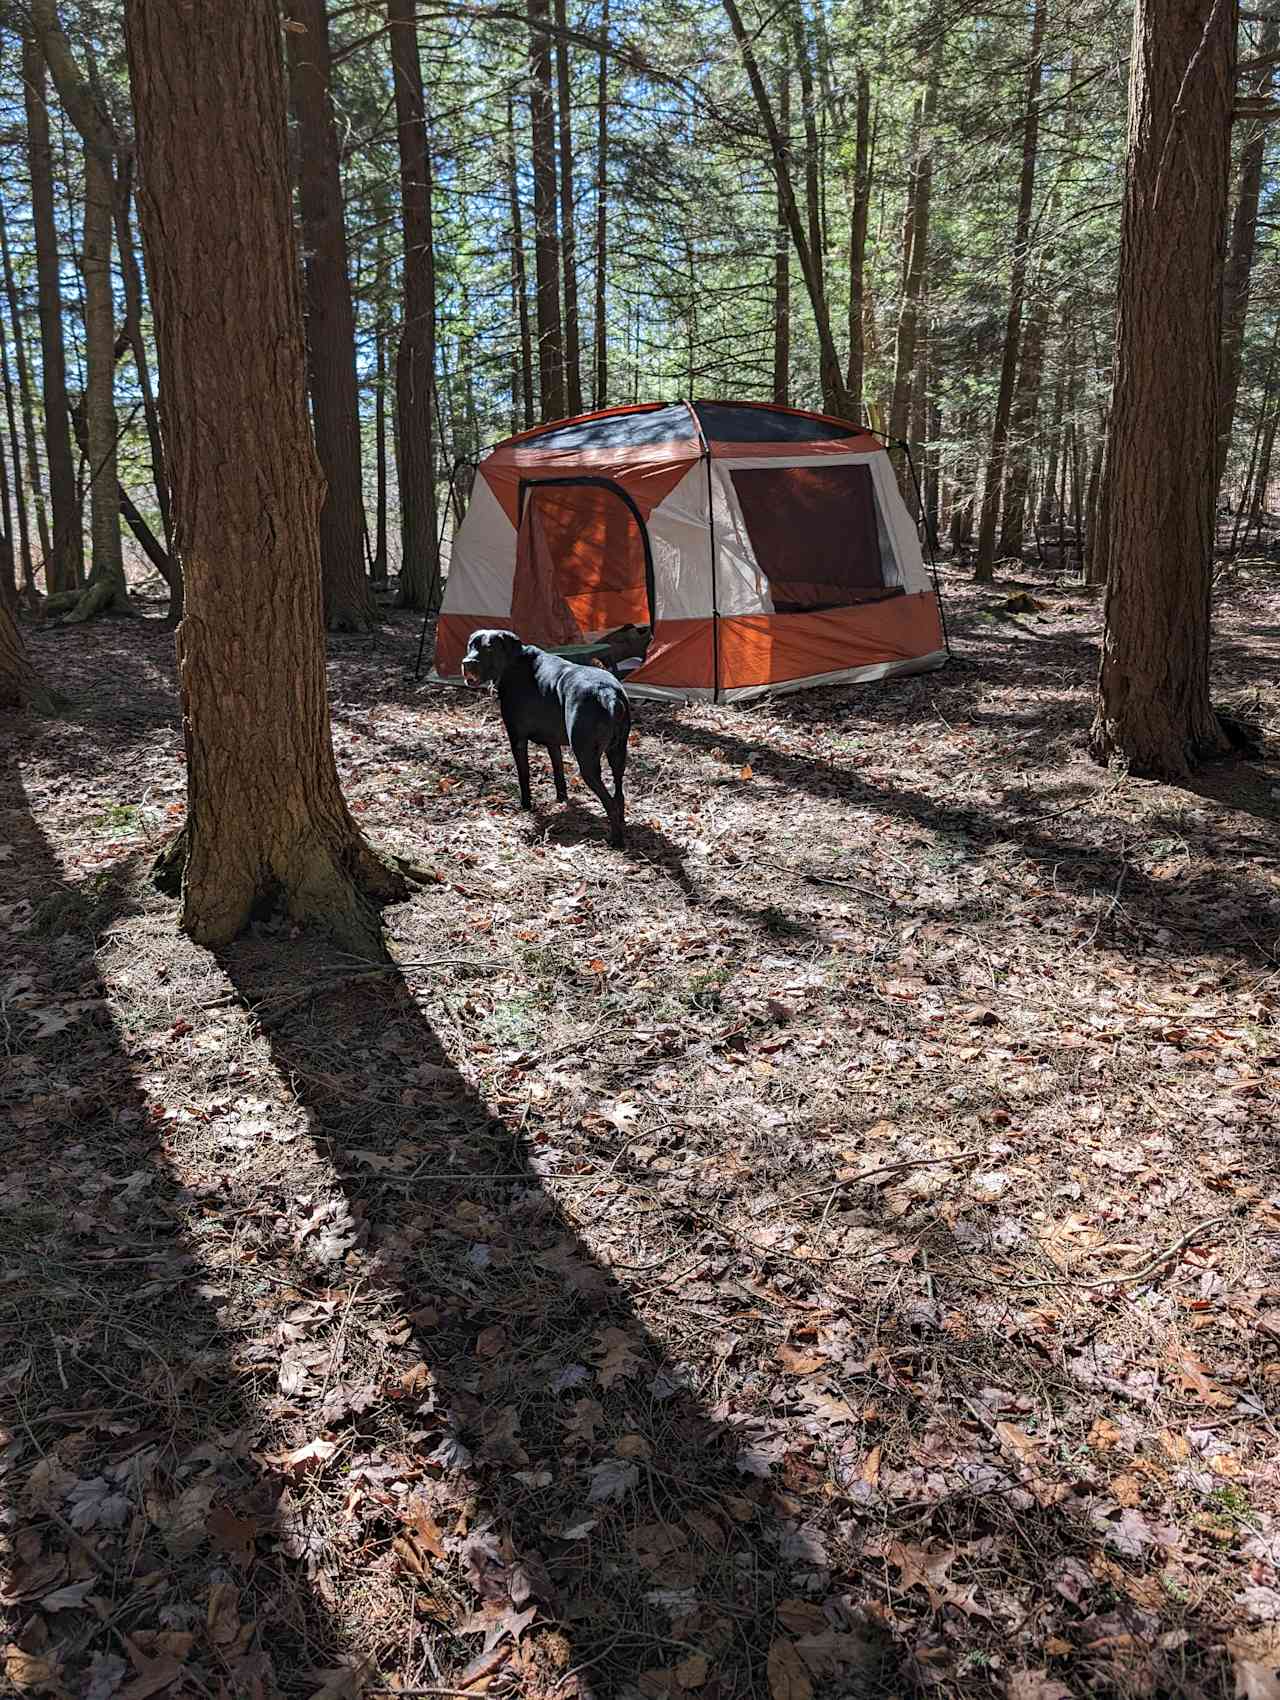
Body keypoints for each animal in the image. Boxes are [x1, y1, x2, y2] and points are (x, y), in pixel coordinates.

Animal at [465, 629, 635, 846]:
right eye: (470, 646)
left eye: (488, 648)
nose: (467, 662)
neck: (513, 663)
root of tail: (608, 693)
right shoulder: (553, 743)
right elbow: (558, 770)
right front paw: (562, 800)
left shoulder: (517, 740)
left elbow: (523, 775)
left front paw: (526, 805)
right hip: (618, 754)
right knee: (618, 794)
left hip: (587, 762)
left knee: (610, 802)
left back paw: (615, 839)